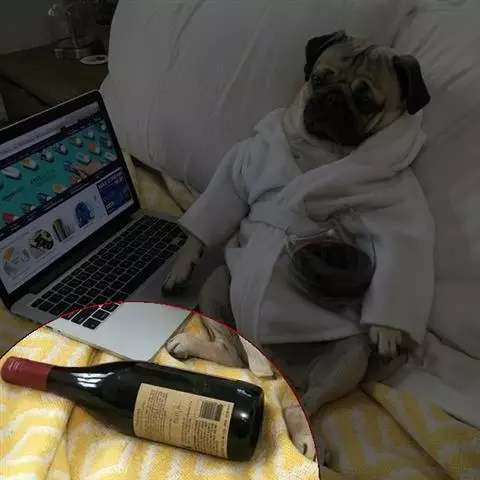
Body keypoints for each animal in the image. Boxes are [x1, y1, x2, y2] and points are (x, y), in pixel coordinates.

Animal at [163, 31, 431, 464]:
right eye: (320, 78)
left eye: (365, 100)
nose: (331, 98)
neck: (324, 151)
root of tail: (282, 367)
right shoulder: (239, 171)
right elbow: (208, 222)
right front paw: (181, 263)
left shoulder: (396, 205)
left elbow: (398, 248)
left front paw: (387, 328)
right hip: (218, 285)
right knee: (234, 353)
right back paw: (189, 343)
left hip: (347, 359)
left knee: (302, 401)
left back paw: (308, 437)